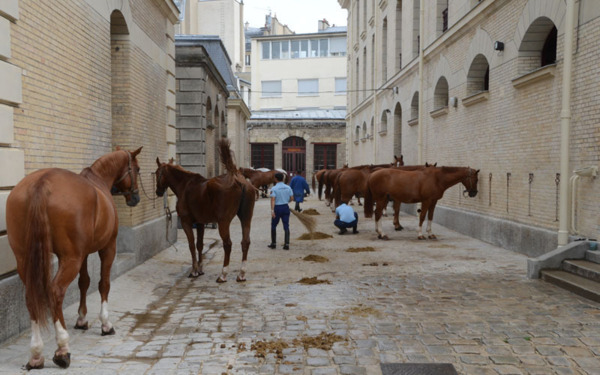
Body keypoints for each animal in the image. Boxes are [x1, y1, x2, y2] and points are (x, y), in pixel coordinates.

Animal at [5, 147, 143, 370]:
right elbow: (103, 284)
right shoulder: (107, 247)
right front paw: (105, 324)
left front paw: (81, 319)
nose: (135, 198)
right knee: (55, 292)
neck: (99, 180)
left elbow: (84, 282)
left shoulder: (83, 253)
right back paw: (62, 348)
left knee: (31, 297)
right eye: (137, 169)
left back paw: (36, 353)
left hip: (25, 259)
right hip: (71, 259)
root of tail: (41, 182)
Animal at [156, 140, 254, 284]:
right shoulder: (200, 223)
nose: (157, 191)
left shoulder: (186, 222)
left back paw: (223, 274)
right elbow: (200, 245)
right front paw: (200, 269)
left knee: (228, 244)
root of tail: (235, 177)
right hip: (246, 218)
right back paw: (241, 274)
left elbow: (192, 245)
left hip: (224, 222)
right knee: (245, 242)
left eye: (157, 173)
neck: (184, 185)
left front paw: (194, 271)